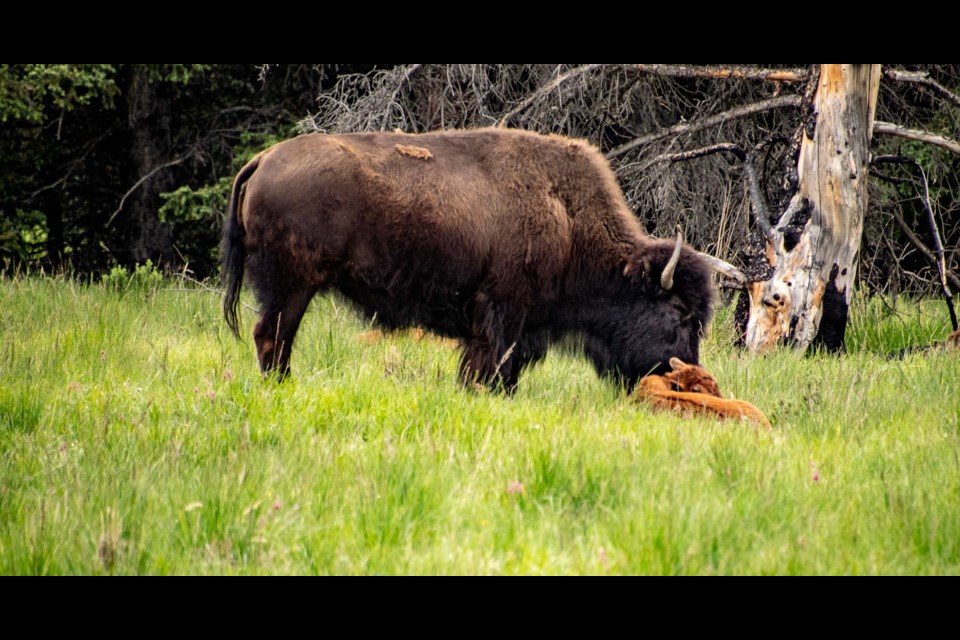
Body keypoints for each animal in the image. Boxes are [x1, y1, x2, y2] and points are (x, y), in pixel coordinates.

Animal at [219, 127, 728, 390]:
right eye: (678, 314)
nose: (687, 371)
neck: (564, 213)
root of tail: (264, 159)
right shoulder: (502, 308)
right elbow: (491, 359)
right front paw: (483, 391)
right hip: (291, 285)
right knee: (271, 335)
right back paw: (281, 387)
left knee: (274, 336)